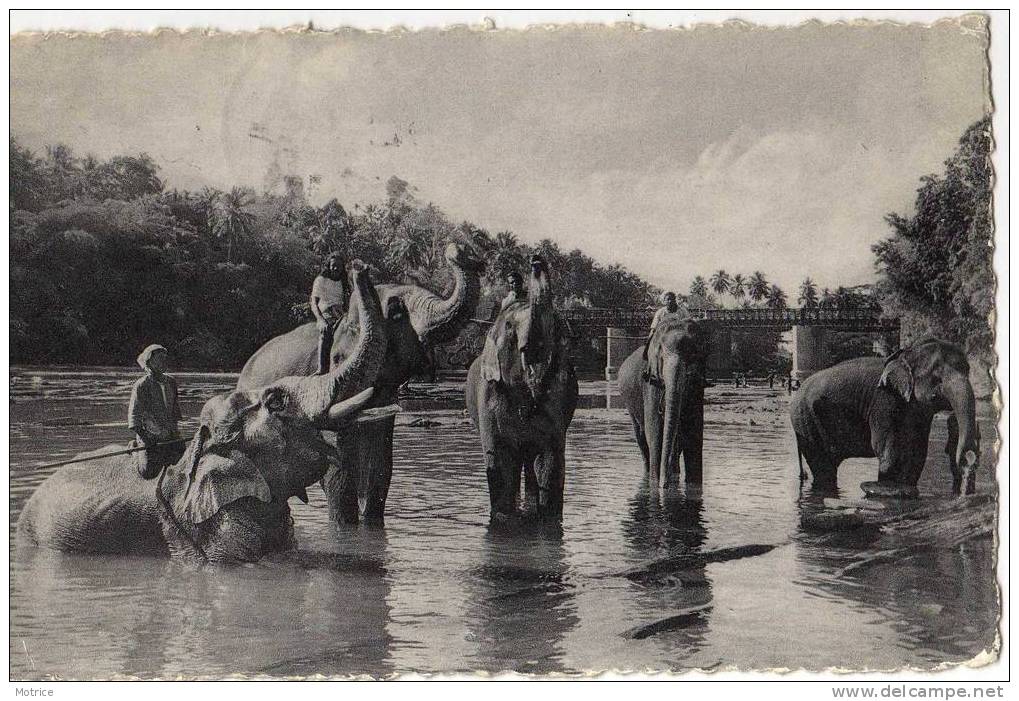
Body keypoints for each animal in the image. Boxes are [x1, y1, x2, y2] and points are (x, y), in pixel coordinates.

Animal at [466, 254, 578, 521]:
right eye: (509, 327)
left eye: (556, 326)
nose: (536, 261)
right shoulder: (489, 396)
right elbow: (499, 459)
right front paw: (503, 518)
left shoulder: (559, 401)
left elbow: (550, 460)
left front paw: (547, 518)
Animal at [615, 317, 713, 487]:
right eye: (661, 357)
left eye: (693, 354)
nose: (664, 484)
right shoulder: (651, 383)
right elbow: (654, 432)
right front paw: (656, 485)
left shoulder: (697, 386)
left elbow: (694, 432)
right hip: (630, 405)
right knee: (641, 436)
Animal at [786, 338, 978, 493]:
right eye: (937, 378)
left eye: (968, 370)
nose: (967, 459)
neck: (906, 354)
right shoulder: (883, 400)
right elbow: (887, 450)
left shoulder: (919, 411)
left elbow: (917, 452)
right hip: (805, 421)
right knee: (823, 468)